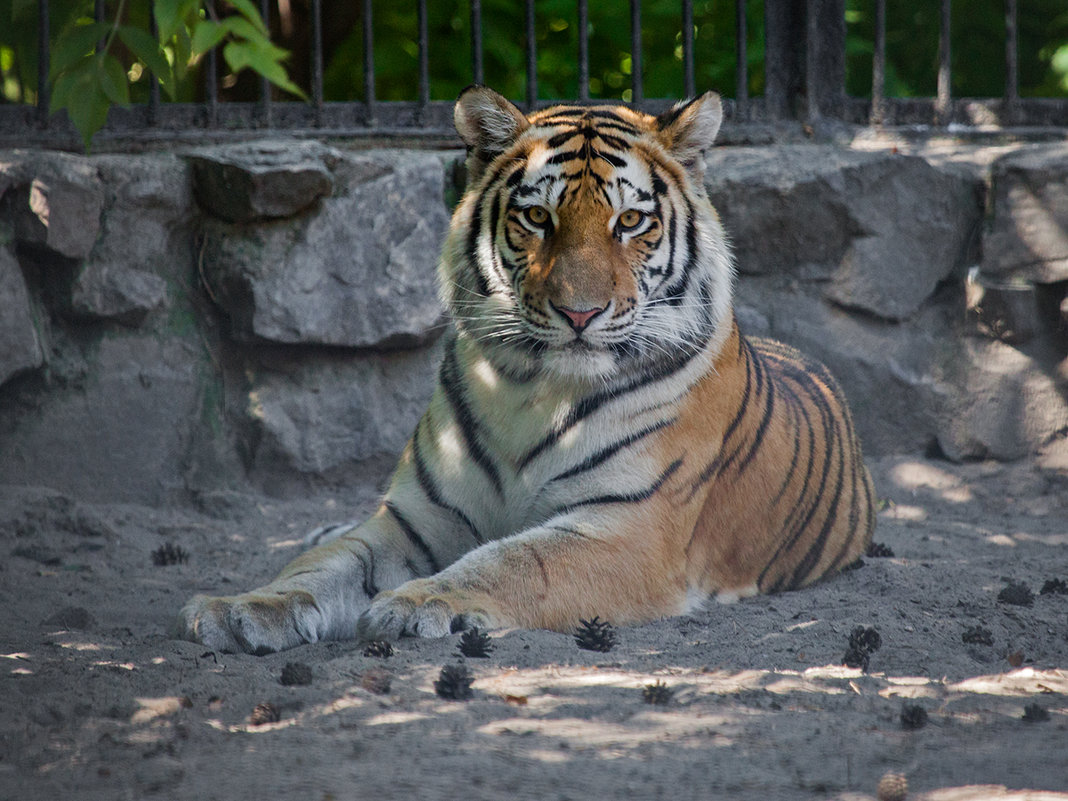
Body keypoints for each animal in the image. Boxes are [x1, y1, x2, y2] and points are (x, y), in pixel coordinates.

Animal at [175, 86, 875, 657]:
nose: (580, 312)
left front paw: (417, 602)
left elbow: (513, 562)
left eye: (630, 221)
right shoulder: (414, 518)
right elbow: (327, 563)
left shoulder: (627, 530)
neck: (530, 390)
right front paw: (241, 608)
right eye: (538, 217)